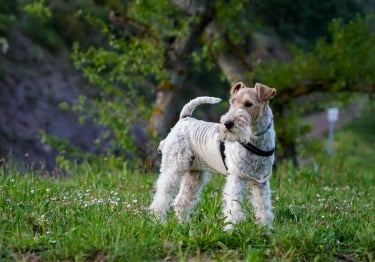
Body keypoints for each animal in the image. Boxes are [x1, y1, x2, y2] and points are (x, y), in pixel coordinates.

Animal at [151, 82, 278, 229]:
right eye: (232, 102)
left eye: (249, 104)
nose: (227, 123)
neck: (254, 140)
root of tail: (185, 118)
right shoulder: (236, 178)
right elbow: (233, 207)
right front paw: (232, 229)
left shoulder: (261, 182)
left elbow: (264, 208)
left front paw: (265, 229)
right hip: (173, 168)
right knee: (161, 197)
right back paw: (158, 222)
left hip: (194, 175)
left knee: (181, 202)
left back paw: (184, 225)